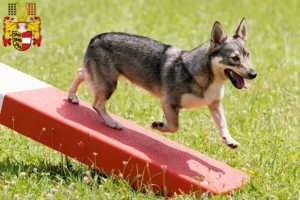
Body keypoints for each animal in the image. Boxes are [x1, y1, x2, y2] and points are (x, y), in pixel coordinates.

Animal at [67, 18, 255, 148]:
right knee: (97, 104)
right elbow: (174, 127)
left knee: (80, 72)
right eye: (235, 58)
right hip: (109, 84)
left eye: (247, 55)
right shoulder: (169, 103)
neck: (209, 79)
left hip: (100, 79)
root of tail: (95, 38)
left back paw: (72, 96)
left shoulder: (214, 104)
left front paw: (229, 140)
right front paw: (159, 126)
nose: (254, 74)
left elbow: (223, 124)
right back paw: (112, 122)